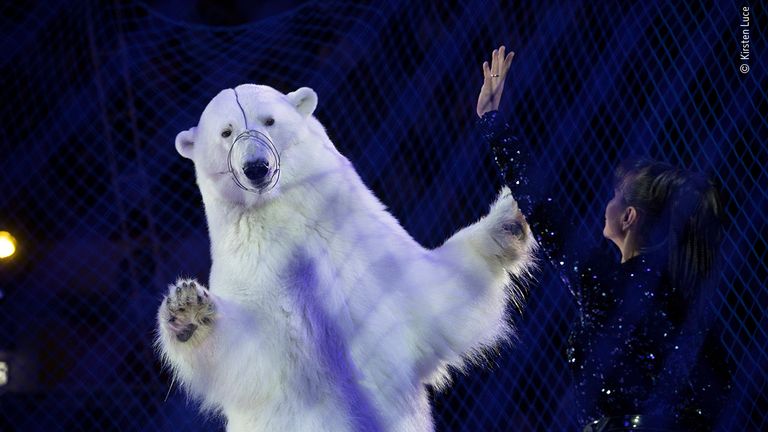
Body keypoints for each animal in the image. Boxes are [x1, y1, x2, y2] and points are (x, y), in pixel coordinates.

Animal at [156, 85, 536, 432]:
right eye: (226, 131)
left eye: (269, 120)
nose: (256, 168)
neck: (283, 216)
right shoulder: (251, 269)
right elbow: (251, 356)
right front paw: (187, 311)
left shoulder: (361, 241)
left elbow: (432, 295)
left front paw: (509, 216)